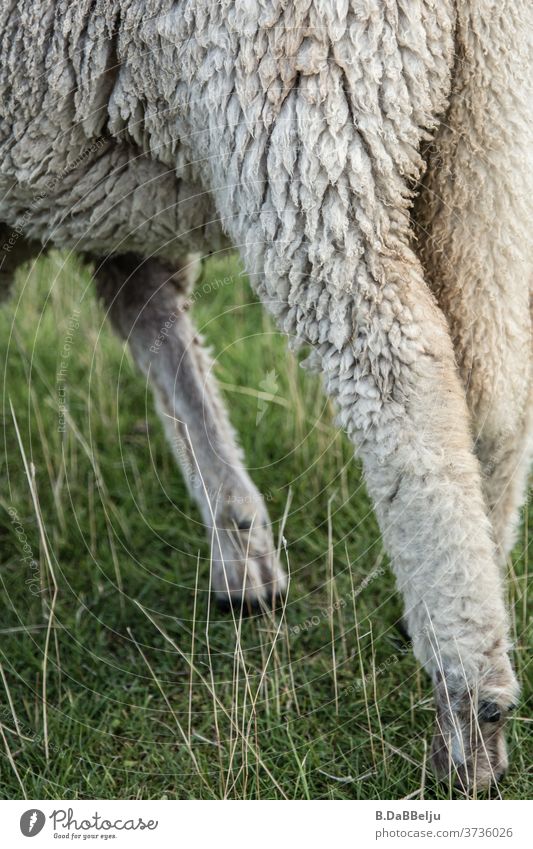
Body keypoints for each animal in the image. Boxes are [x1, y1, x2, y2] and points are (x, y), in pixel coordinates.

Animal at [0, 0, 528, 788]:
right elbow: (152, 316)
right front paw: (241, 547)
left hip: (309, 128)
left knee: (405, 385)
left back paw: (468, 712)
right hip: (486, 141)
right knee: (494, 396)